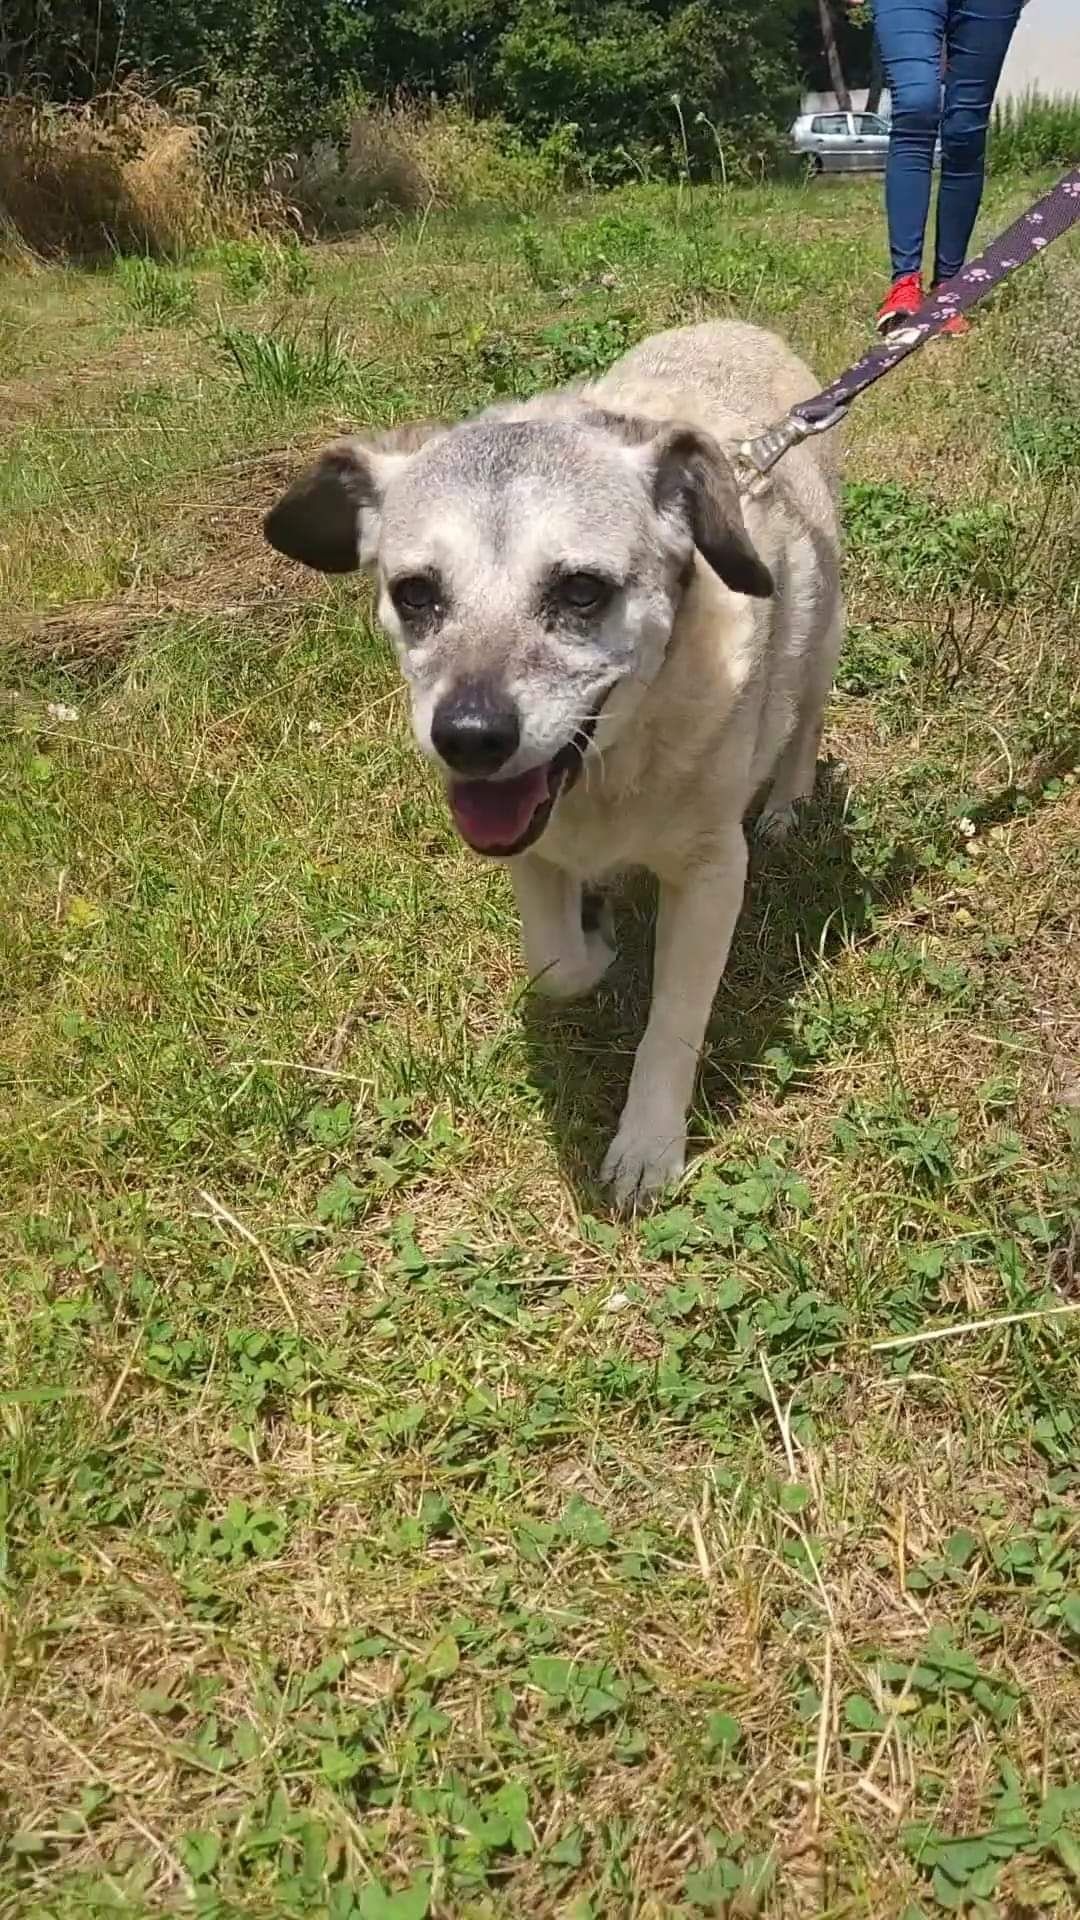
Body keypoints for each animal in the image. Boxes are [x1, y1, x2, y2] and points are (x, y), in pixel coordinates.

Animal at [263, 324, 841, 1205]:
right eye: (415, 593)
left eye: (580, 591)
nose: (468, 736)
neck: (612, 770)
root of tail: (737, 327)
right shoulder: (532, 850)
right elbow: (556, 965)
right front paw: (594, 942)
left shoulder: (713, 874)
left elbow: (673, 1020)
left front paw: (647, 1146)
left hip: (822, 630)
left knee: (804, 719)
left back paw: (786, 802)